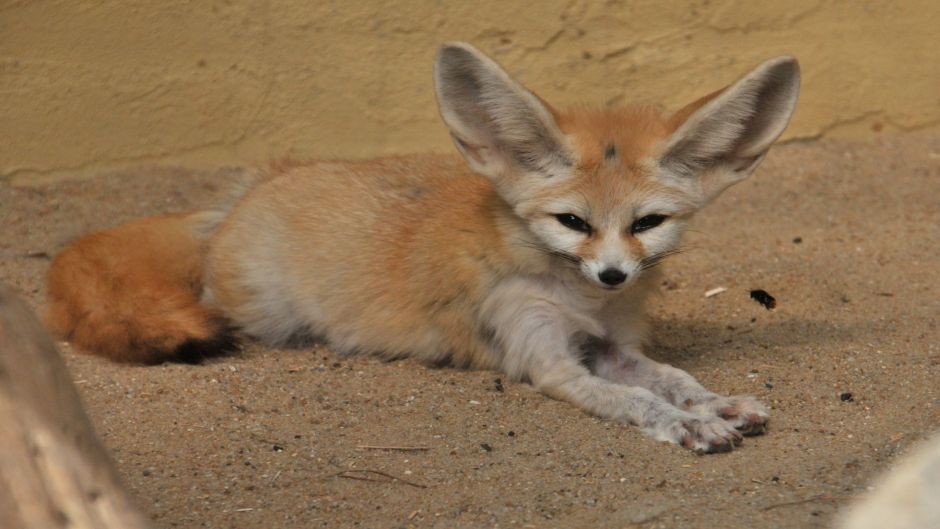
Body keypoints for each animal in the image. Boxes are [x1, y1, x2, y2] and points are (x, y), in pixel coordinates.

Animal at [46, 42, 800, 453]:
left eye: (647, 223)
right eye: (571, 222)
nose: (613, 274)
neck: (577, 299)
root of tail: (256, 183)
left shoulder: (608, 343)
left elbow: (671, 377)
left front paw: (715, 402)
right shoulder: (550, 361)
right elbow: (635, 401)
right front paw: (688, 424)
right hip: (263, 312)